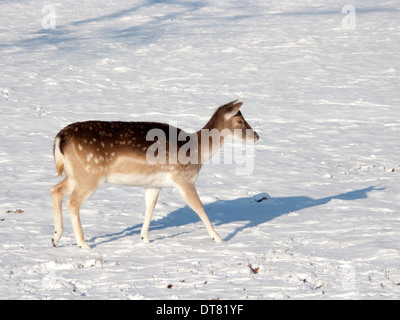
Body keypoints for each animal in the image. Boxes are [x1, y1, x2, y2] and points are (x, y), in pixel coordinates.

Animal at [50, 99, 260, 248]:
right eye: (240, 120)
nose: (257, 136)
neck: (197, 150)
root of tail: (61, 137)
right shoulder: (183, 178)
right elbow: (199, 207)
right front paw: (219, 238)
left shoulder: (154, 184)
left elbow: (150, 207)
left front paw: (144, 238)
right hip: (89, 175)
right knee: (72, 202)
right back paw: (83, 244)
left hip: (75, 174)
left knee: (55, 190)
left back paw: (55, 238)